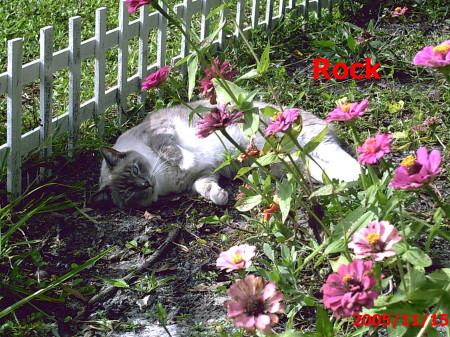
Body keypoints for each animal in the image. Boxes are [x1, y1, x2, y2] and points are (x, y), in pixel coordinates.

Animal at [93, 100, 360, 209]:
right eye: (130, 192)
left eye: (136, 169)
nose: (146, 184)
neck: (162, 177)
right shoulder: (203, 174)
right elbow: (206, 187)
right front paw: (220, 197)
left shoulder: (160, 131)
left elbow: (171, 150)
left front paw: (185, 159)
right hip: (289, 163)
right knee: (320, 168)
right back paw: (342, 181)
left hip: (308, 142)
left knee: (345, 157)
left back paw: (361, 174)